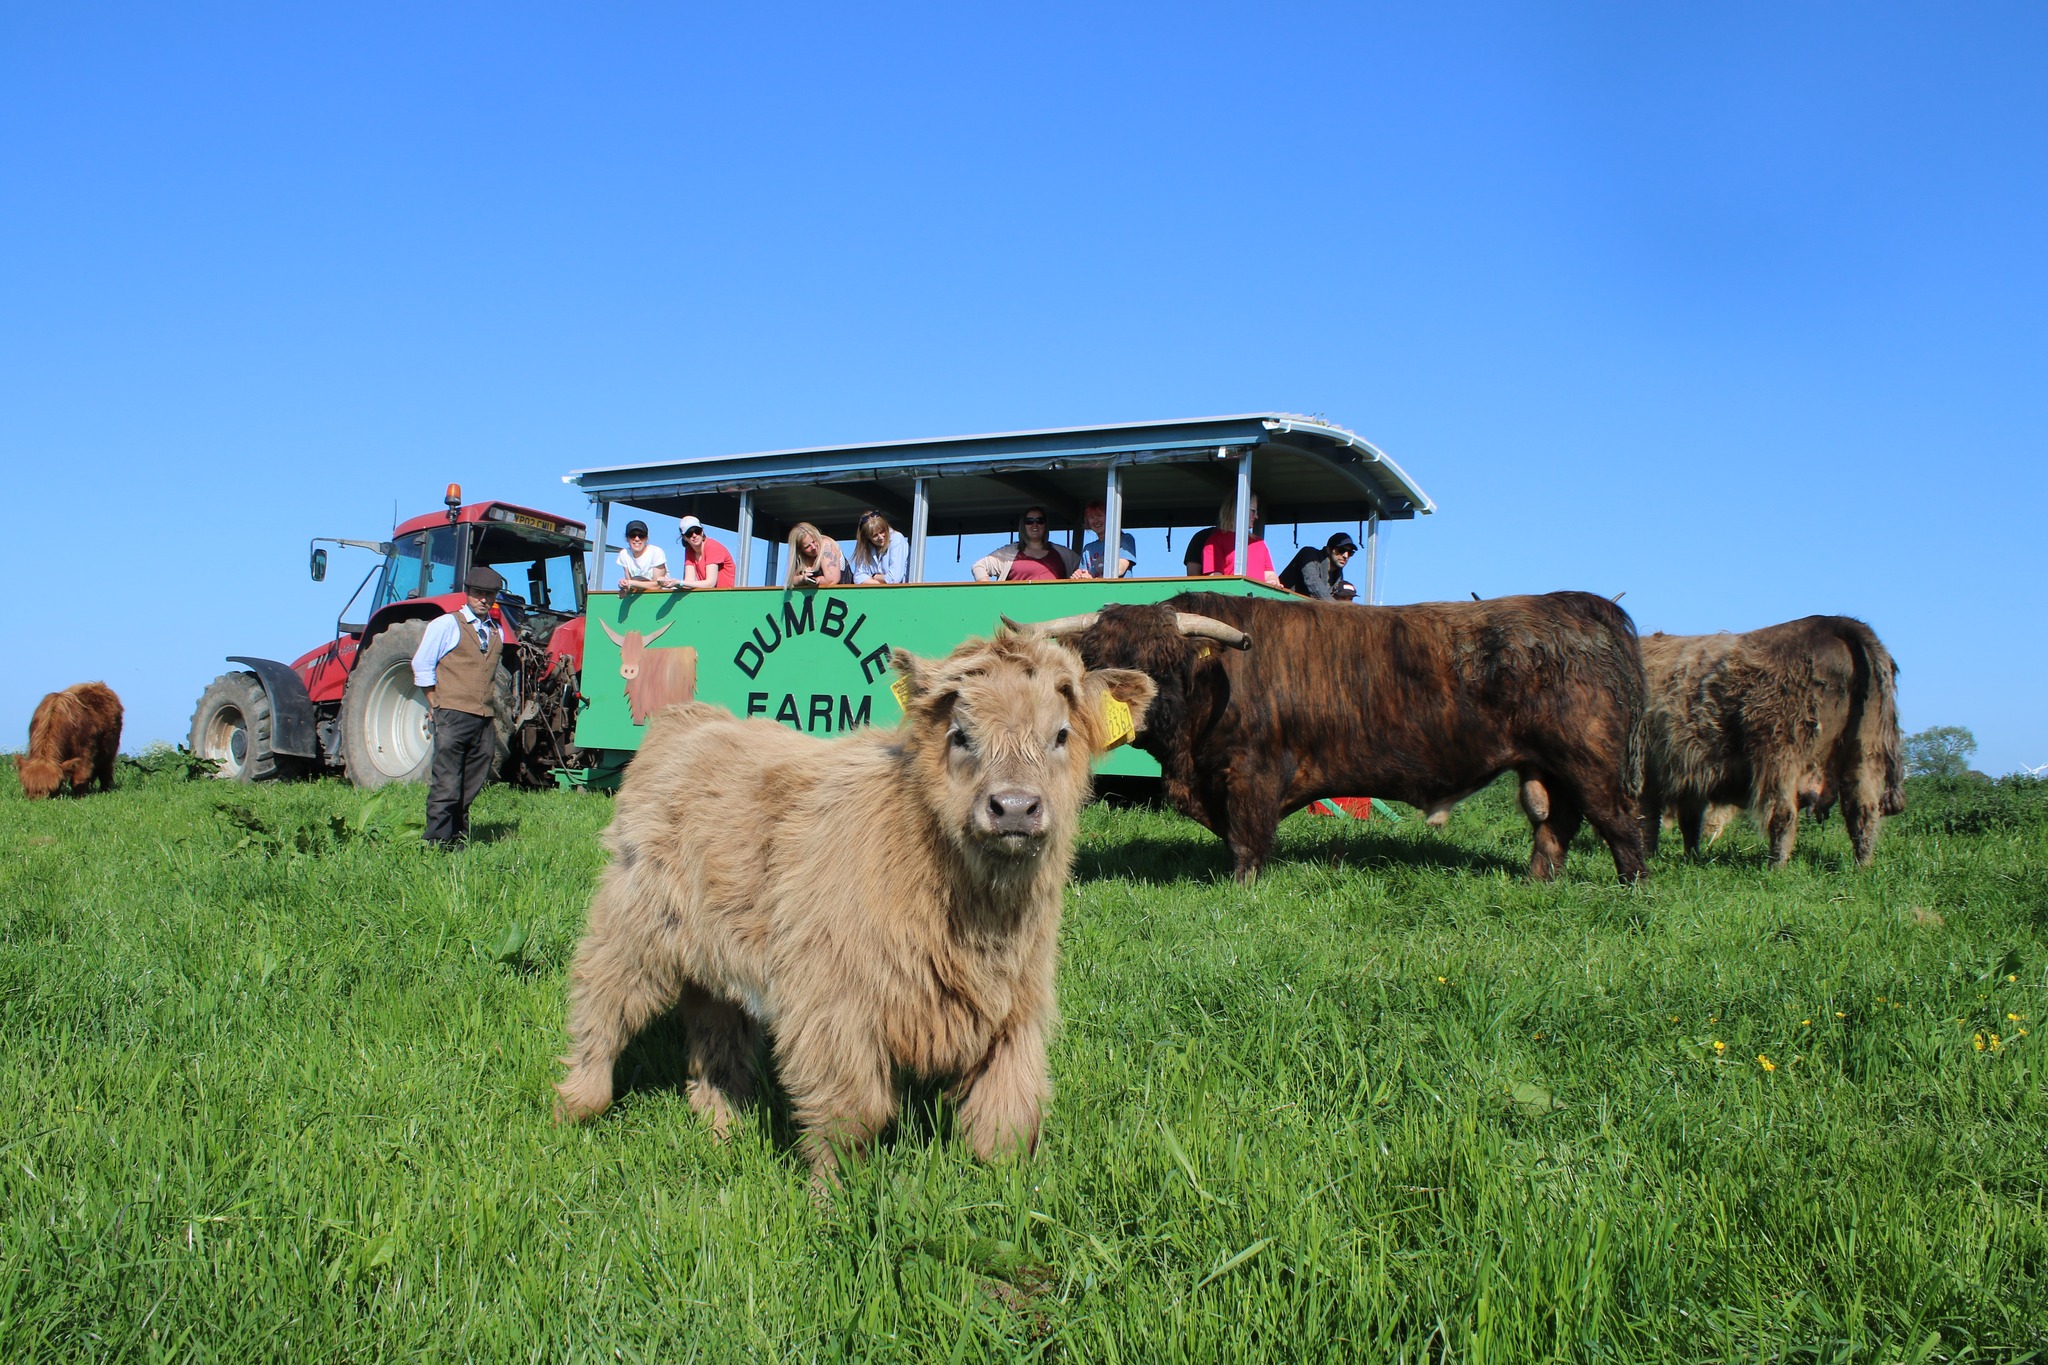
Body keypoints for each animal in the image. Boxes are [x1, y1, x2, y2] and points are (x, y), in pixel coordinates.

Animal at [1024, 589, 1646, 888]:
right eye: (1100, 662)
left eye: (1164, 662)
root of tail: (1581, 606)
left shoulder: (1252, 773)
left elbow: (1247, 842)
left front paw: (1241, 889)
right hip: (1551, 765)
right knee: (1555, 825)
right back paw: (1538, 884)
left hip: (1591, 759)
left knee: (1620, 823)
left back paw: (1632, 892)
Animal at [1630, 618, 1900, 863]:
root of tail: (1837, 623)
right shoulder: (1688, 779)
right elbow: (1687, 824)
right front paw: (1690, 858)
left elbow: (1648, 822)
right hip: (1864, 754)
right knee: (1862, 812)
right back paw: (1862, 865)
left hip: (1780, 757)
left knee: (1784, 814)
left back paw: (1775, 866)